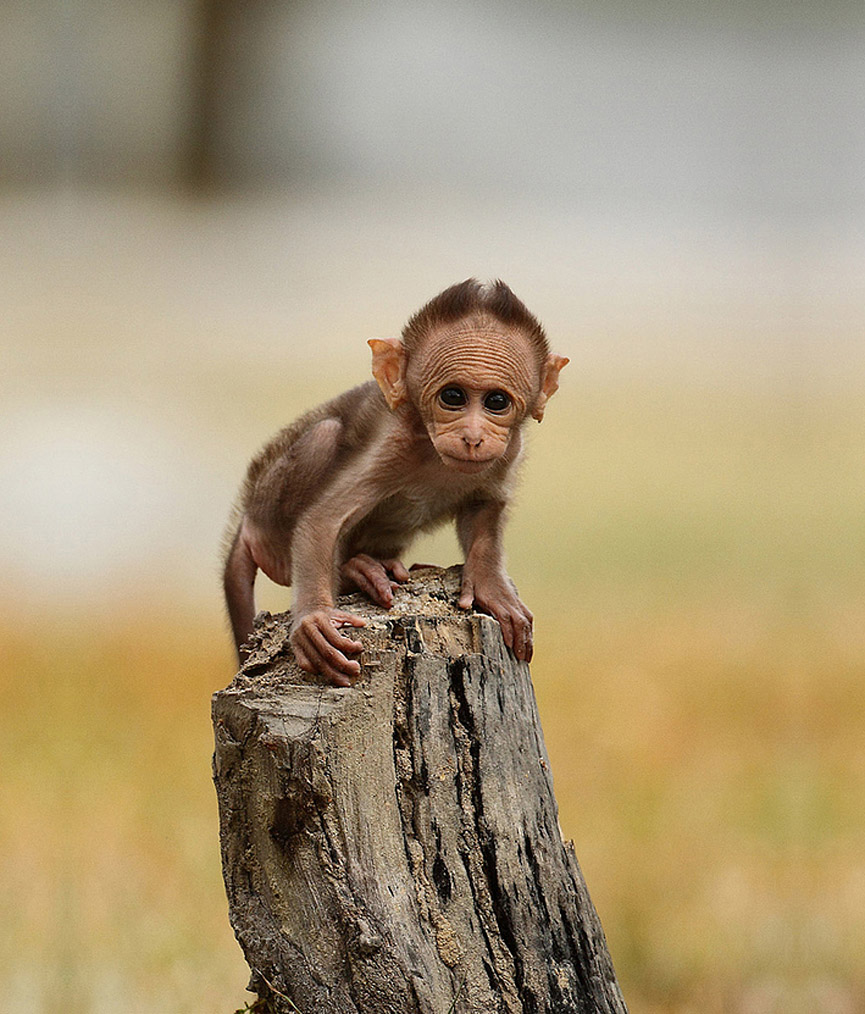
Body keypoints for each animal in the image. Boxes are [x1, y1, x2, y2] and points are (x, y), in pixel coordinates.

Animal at [223, 279, 568, 686]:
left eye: (496, 402)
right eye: (453, 396)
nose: (472, 437)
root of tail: (246, 521)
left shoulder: (508, 452)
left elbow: (485, 507)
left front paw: (491, 586)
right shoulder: (393, 443)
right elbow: (322, 520)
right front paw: (314, 617)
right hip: (269, 510)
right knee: (324, 434)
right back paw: (356, 571)